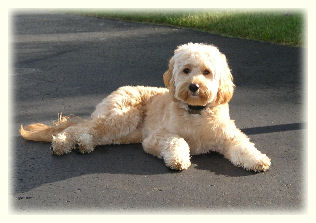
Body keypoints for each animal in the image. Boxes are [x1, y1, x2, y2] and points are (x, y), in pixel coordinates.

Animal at [20, 42, 272, 172]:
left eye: (207, 72)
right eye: (186, 70)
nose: (193, 86)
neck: (195, 113)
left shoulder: (229, 137)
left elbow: (244, 146)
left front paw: (258, 160)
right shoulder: (154, 139)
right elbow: (177, 141)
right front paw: (178, 159)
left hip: (124, 133)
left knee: (91, 133)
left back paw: (84, 144)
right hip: (121, 117)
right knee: (77, 128)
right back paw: (62, 143)